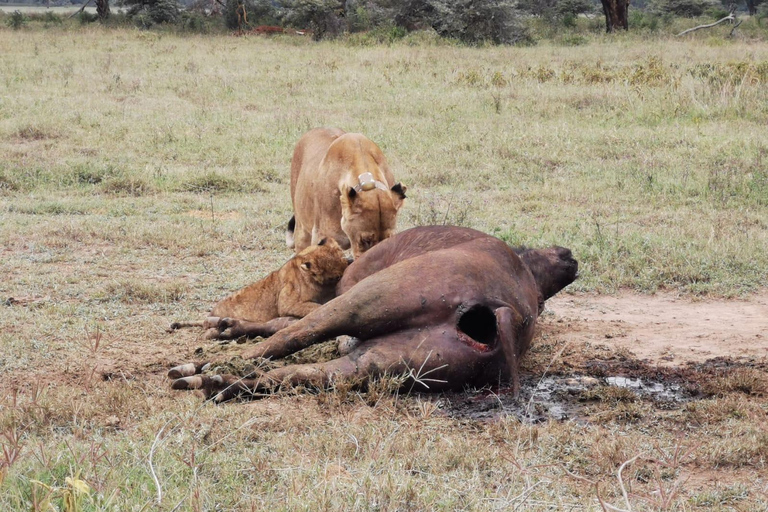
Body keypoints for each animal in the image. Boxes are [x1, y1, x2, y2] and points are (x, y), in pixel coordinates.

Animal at [168, 226, 576, 402]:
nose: (568, 255)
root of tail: (502, 311)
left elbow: (285, 324)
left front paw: (221, 327)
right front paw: (222, 326)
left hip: (367, 301)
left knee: (291, 339)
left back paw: (203, 369)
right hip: (386, 363)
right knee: (297, 373)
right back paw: (215, 381)